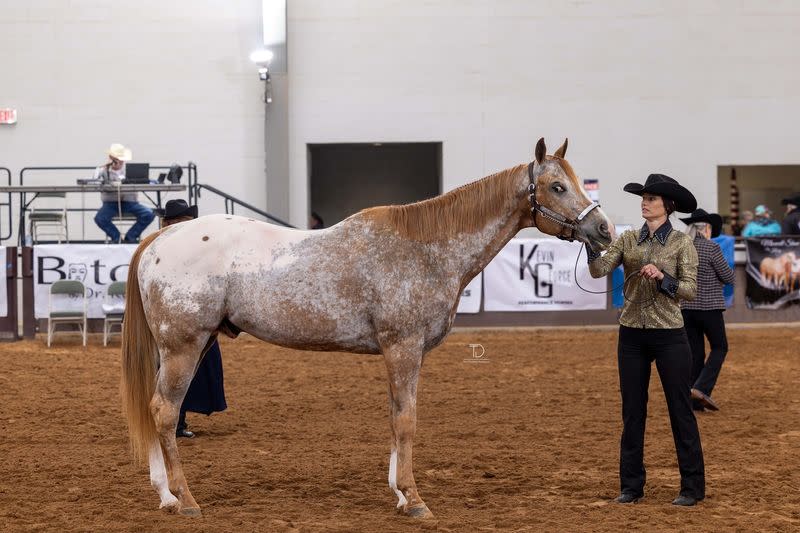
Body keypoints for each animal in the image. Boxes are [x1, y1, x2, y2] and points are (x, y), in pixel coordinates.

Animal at [121, 138, 615, 519]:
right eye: (556, 186)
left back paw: (166, 496)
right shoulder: (403, 347)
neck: (426, 249)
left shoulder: (404, 354)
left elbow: (398, 415)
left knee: (158, 409)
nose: (604, 229)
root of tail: (160, 239)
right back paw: (186, 500)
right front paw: (414, 500)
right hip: (184, 347)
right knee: (165, 411)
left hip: (190, 346)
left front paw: (399, 492)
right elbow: (406, 419)